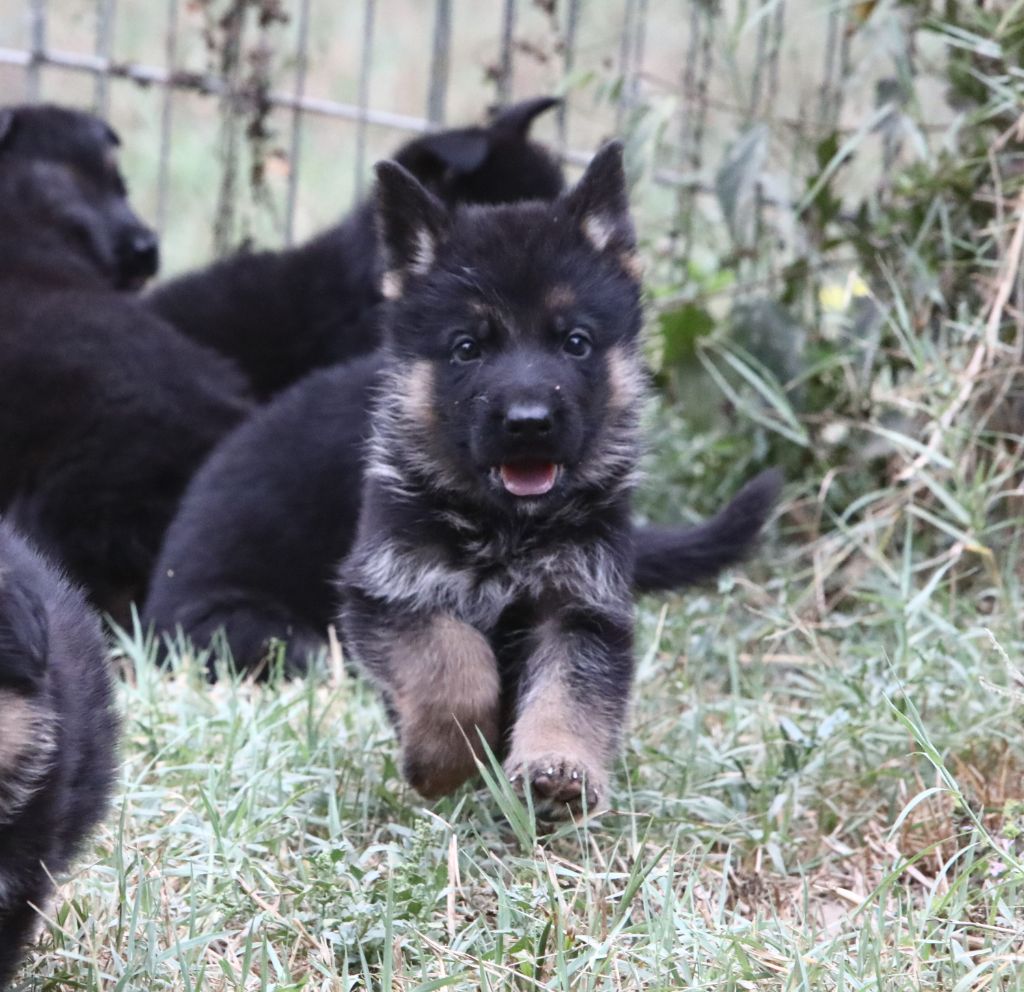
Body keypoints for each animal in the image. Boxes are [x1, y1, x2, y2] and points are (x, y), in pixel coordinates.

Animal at [335, 143, 774, 814]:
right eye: (467, 348)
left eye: (576, 342)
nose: (529, 423)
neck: (505, 528)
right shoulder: (393, 593)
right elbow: (452, 665)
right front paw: (441, 760)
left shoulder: (579, 609)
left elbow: (570, 691)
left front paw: (558, 765)